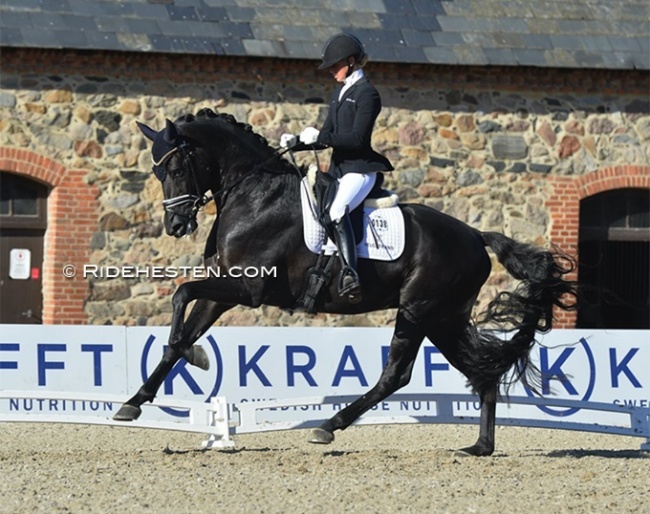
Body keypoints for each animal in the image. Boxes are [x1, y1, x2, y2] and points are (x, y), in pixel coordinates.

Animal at [114, 108, 576, 452]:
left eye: (177, 166)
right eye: (157, 172)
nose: (176, 225)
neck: (254, 193)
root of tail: (476, 236)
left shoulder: (246, 289)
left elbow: (180, 294)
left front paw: (194, 357)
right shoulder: (224, 291)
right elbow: (181, 326)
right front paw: (135, 402)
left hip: (419, 310)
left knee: (398, 375)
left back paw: (328, 426)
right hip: (444, 317)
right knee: (481, 370)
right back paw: (480, 446)